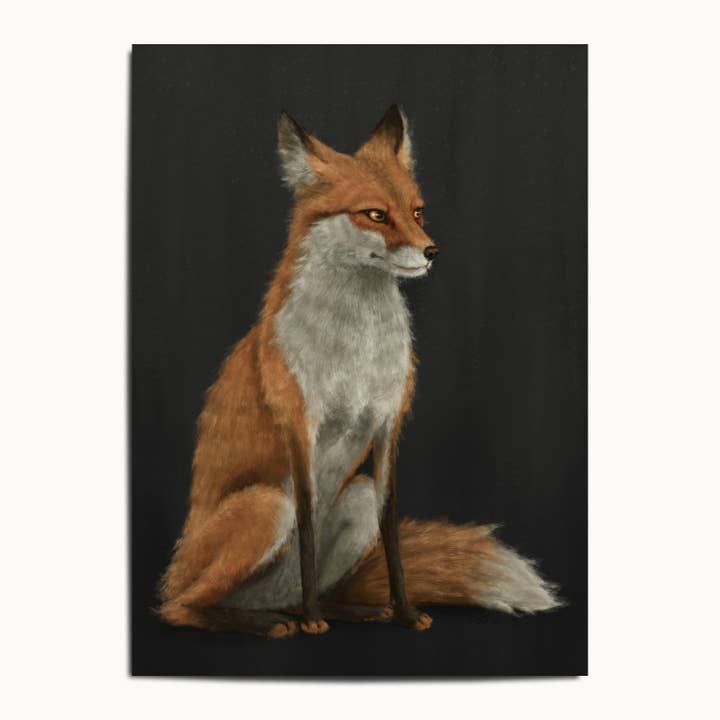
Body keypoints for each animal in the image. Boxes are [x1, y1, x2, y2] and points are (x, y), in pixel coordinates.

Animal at [157, 105, 560, 638]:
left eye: (417, 211)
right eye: (375, 214)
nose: (432, 251)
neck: (357, 348)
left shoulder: (388, 425)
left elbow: (392, 535)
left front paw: (404, 612)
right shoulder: (300, 427)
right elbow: (307, 528)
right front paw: (314, 622)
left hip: (357, 497)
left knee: (308, 590)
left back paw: (347, 610)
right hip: (266, 505)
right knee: (181, 607)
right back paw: (272, 621)